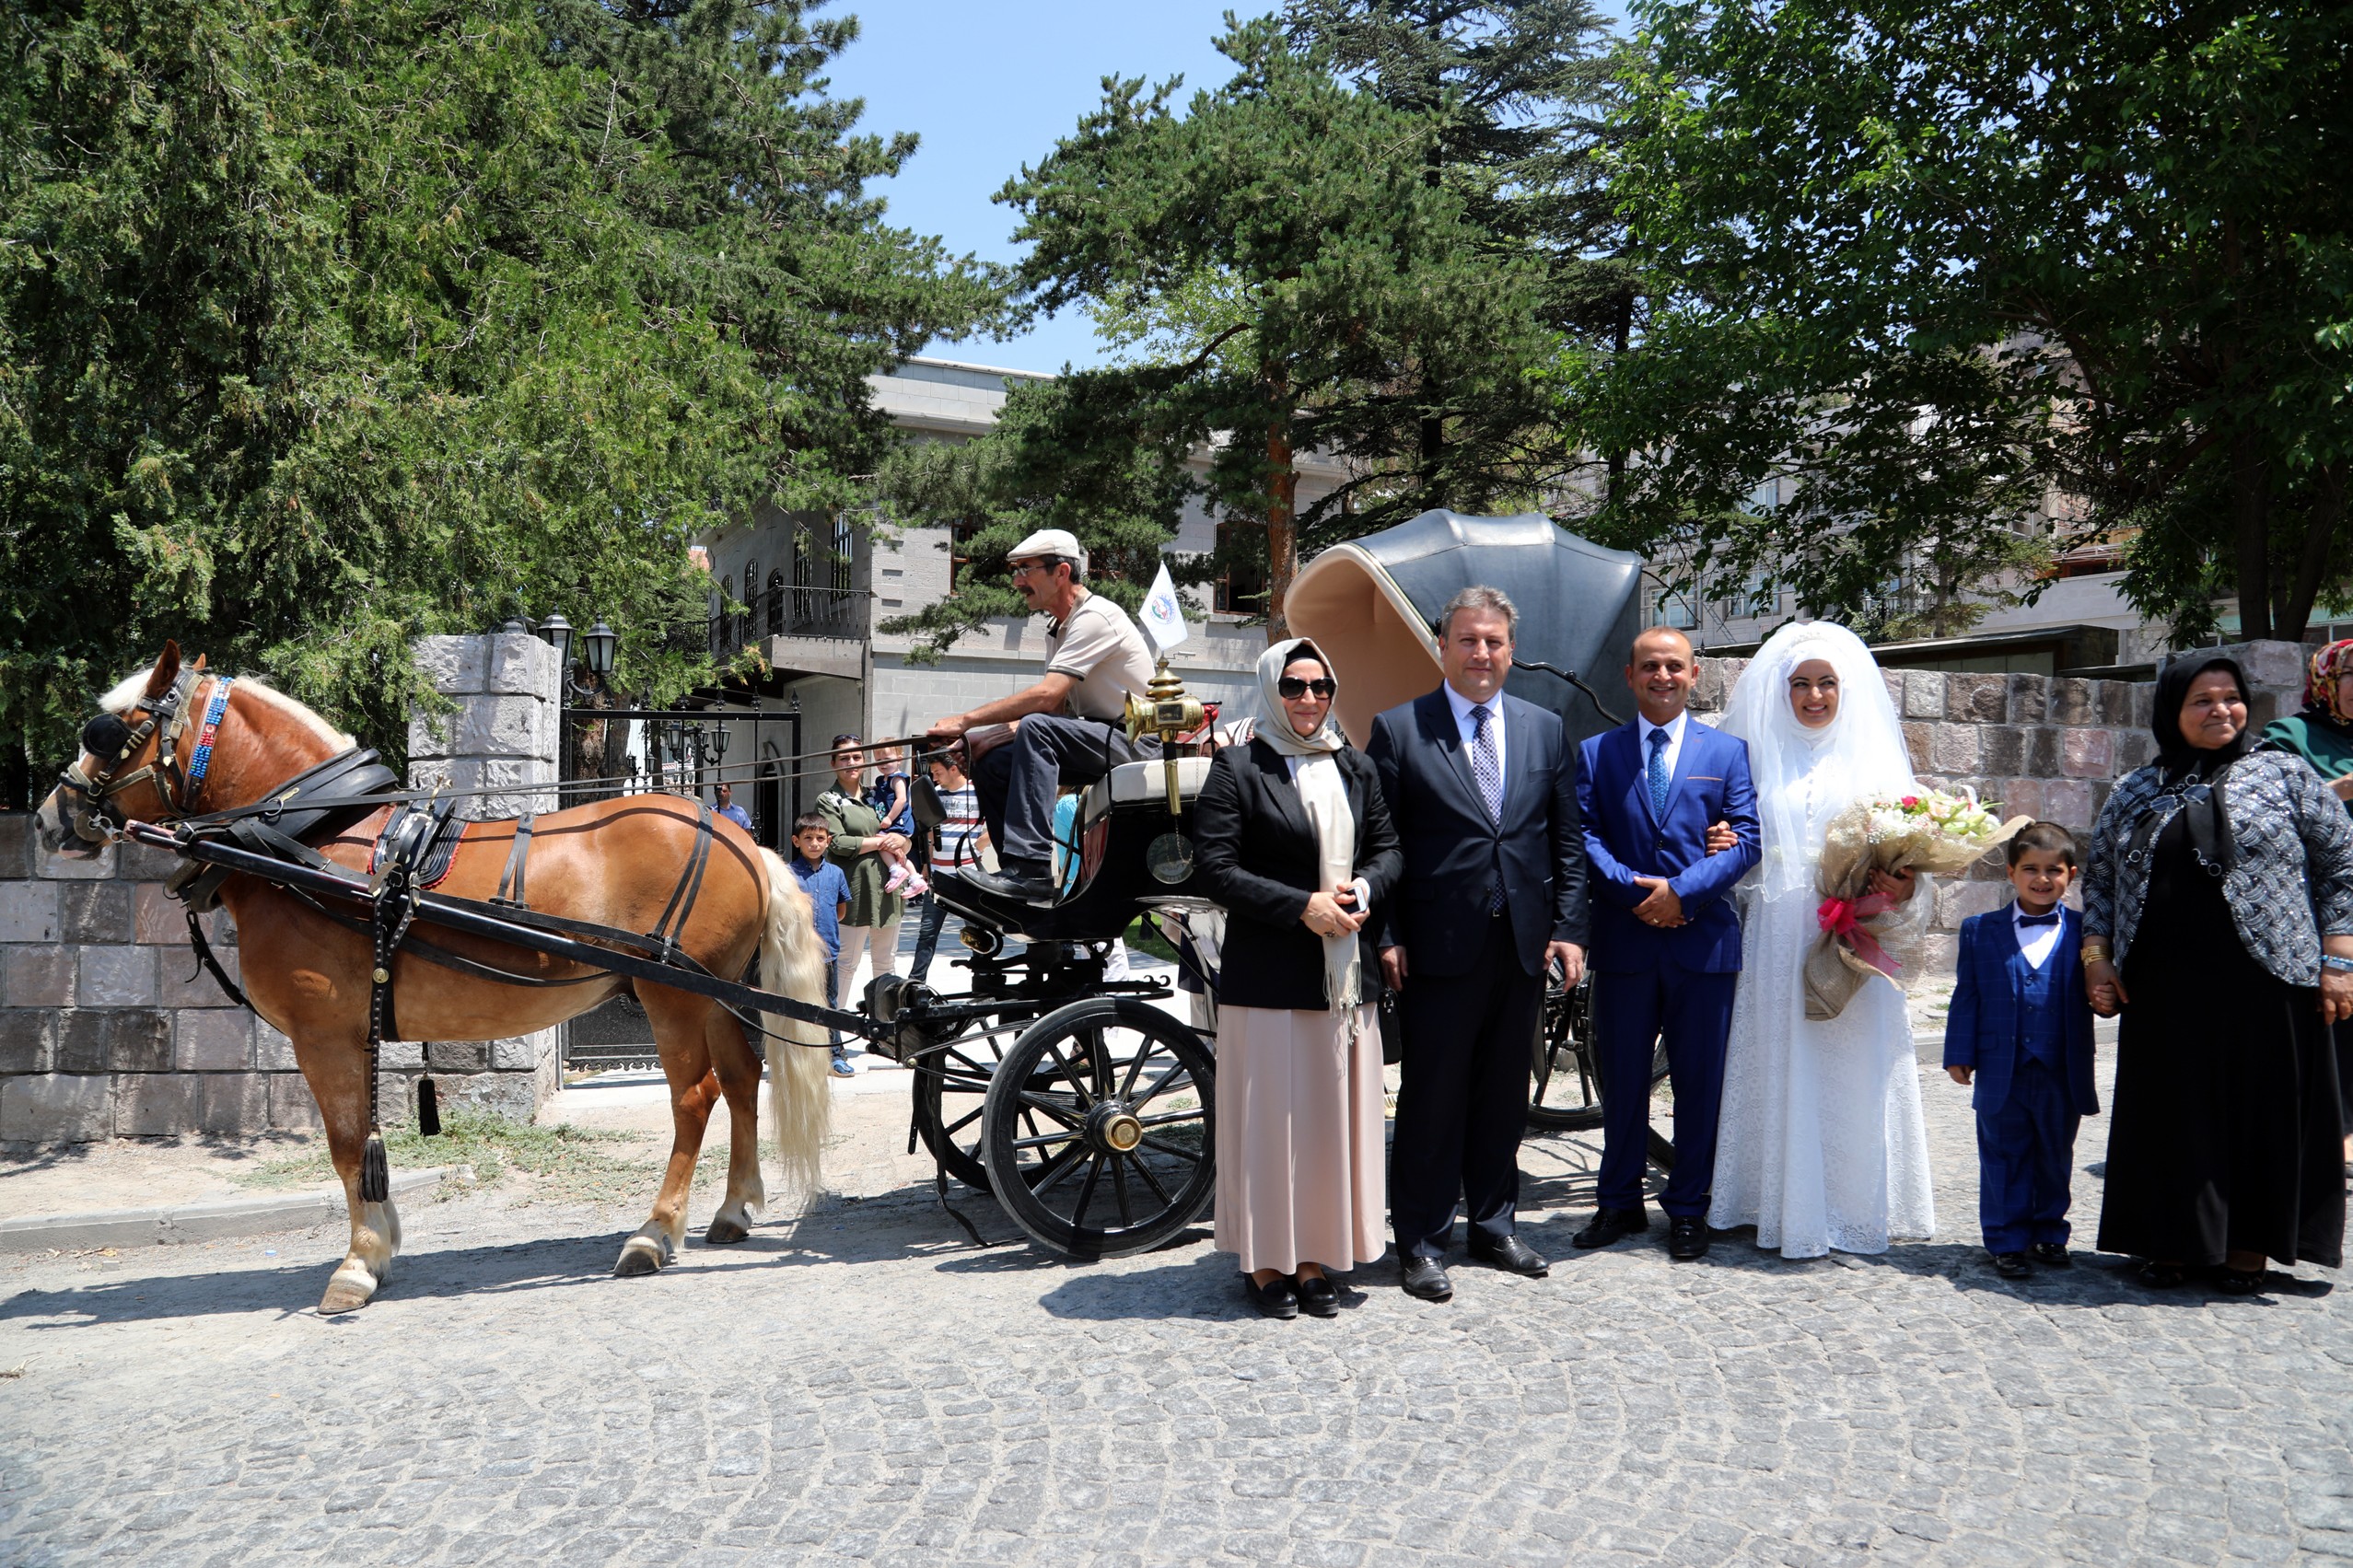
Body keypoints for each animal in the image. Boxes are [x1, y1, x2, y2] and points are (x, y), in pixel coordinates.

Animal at [31, 644, 833, 1316]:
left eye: (110, 729)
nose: (48, 816)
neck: (312, 843)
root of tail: (739, 838)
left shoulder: (323, 1035)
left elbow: (346, 1143)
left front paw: (357, 1264)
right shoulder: (351, 1032)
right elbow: (361, 1139)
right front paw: (381, 1243)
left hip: (672, 994)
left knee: (695, 1098)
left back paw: (656, 1231)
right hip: (718, 991)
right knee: (742, 1079)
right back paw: (734, 1208)